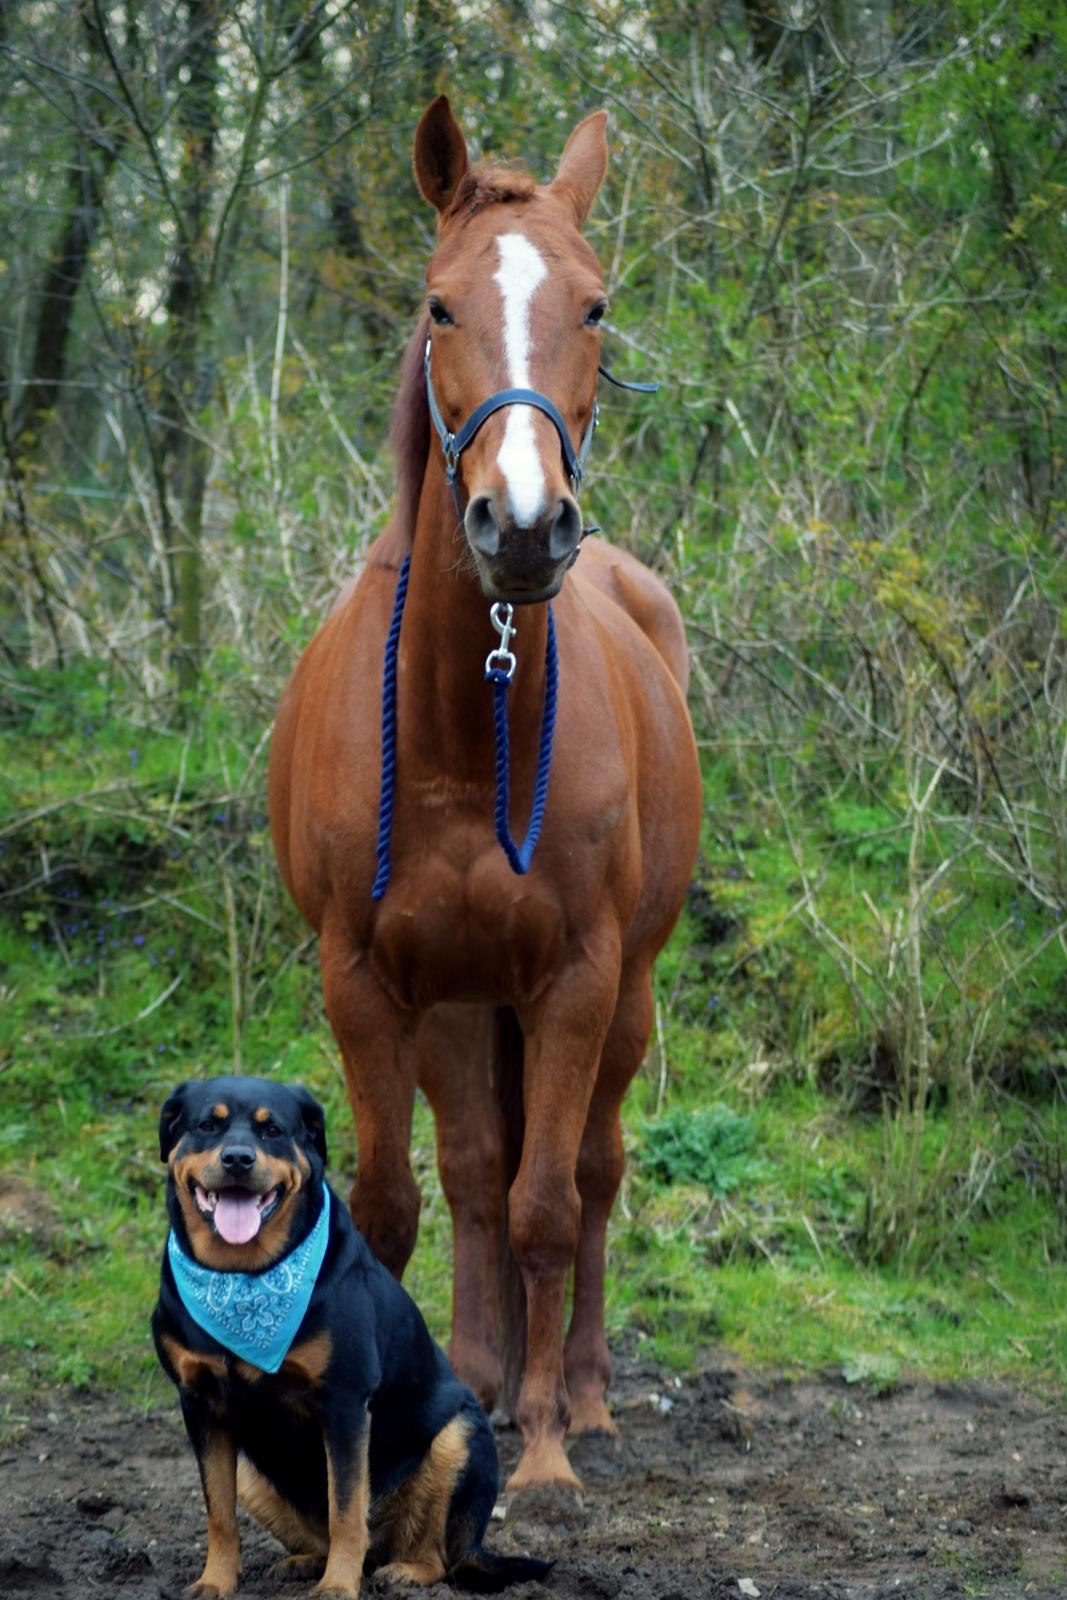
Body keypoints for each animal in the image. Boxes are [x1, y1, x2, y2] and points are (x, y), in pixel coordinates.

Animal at [154, 1075, 547, 1600]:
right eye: (206, 1126)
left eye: (273, 1130)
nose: (238, 1158)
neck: (243, 1275)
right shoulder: (200, 1403)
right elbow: (219, 1512)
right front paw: (215, 1581)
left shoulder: (344, 1400)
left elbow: (345, 1508)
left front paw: (339, 1585)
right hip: (253, 1474)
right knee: (320, 1532)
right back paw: (303, 1562)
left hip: (459, 1436)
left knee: (436, 1554)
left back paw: (402, 1571)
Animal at [267, 96, 700, 1497]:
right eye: (439, 304)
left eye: (597, 304)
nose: (519, 523)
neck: (461, 724)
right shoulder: (365, 981)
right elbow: (398, 1206)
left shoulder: (573, 977)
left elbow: (548, 1204)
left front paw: (549, 1454)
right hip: (458, 1001)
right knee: (470, 1172)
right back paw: (485, 1376)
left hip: (623, 995)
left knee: (589, 1172)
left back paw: (578, 1396)